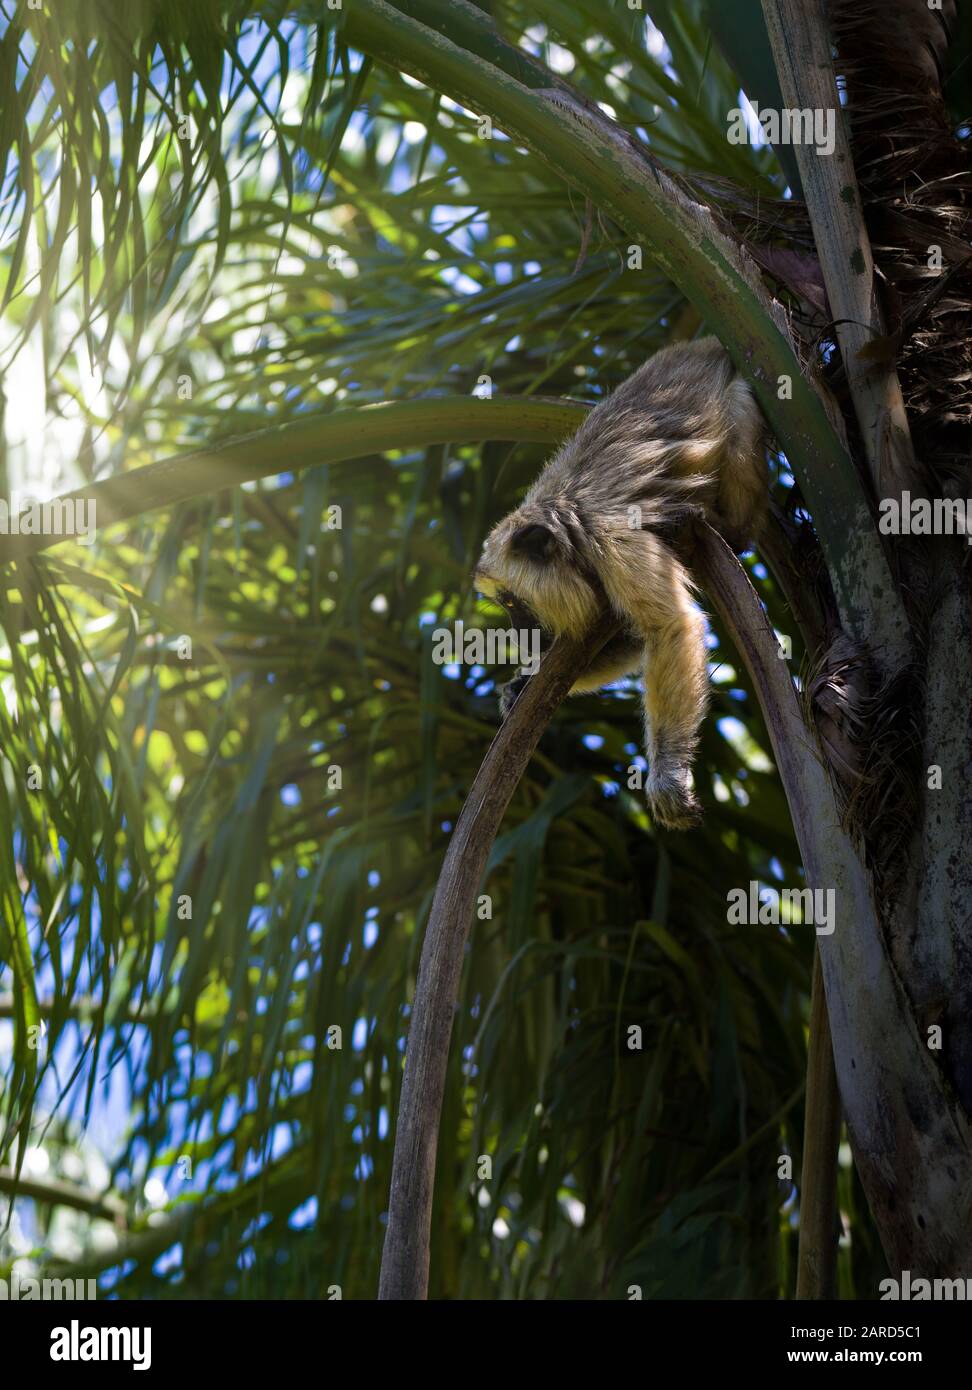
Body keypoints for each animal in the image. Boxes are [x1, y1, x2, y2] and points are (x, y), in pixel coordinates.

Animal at [473, 336, 768, 830]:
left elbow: (669, 626)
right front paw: (520, 686)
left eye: (513, 604)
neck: (570, 527)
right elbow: (631, 638)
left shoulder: (614, 540)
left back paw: (729, 527)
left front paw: (668, 773)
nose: (517, 635)